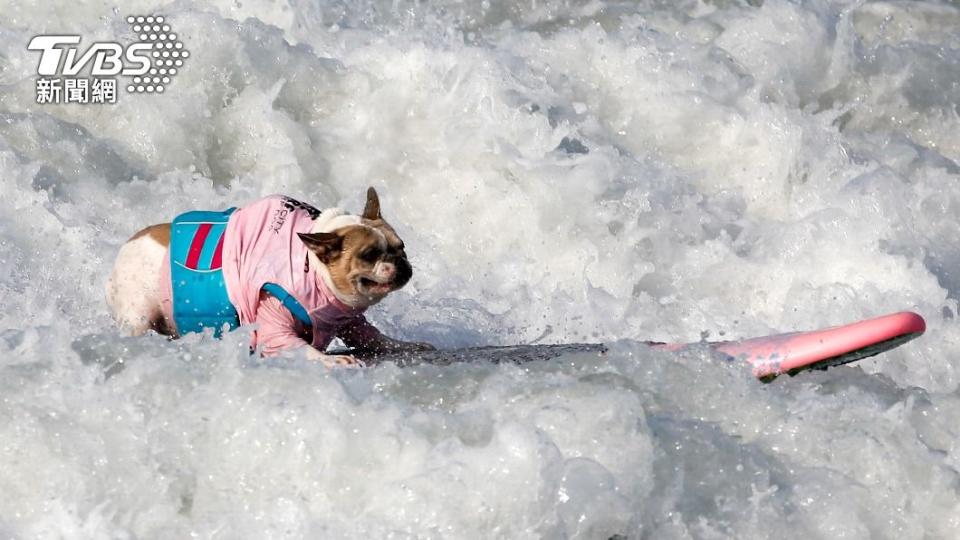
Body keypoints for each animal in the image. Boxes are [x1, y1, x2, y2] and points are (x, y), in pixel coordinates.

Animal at [105, 187, 432, 368]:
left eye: (401, 247)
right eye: (369, 254)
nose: (399, 262)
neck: (313, 268)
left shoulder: (348, 319)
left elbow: (374, 336)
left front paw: (404, 345)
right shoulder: (275, 326)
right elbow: (302, 349)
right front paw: (332, 360)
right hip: (139, 314)